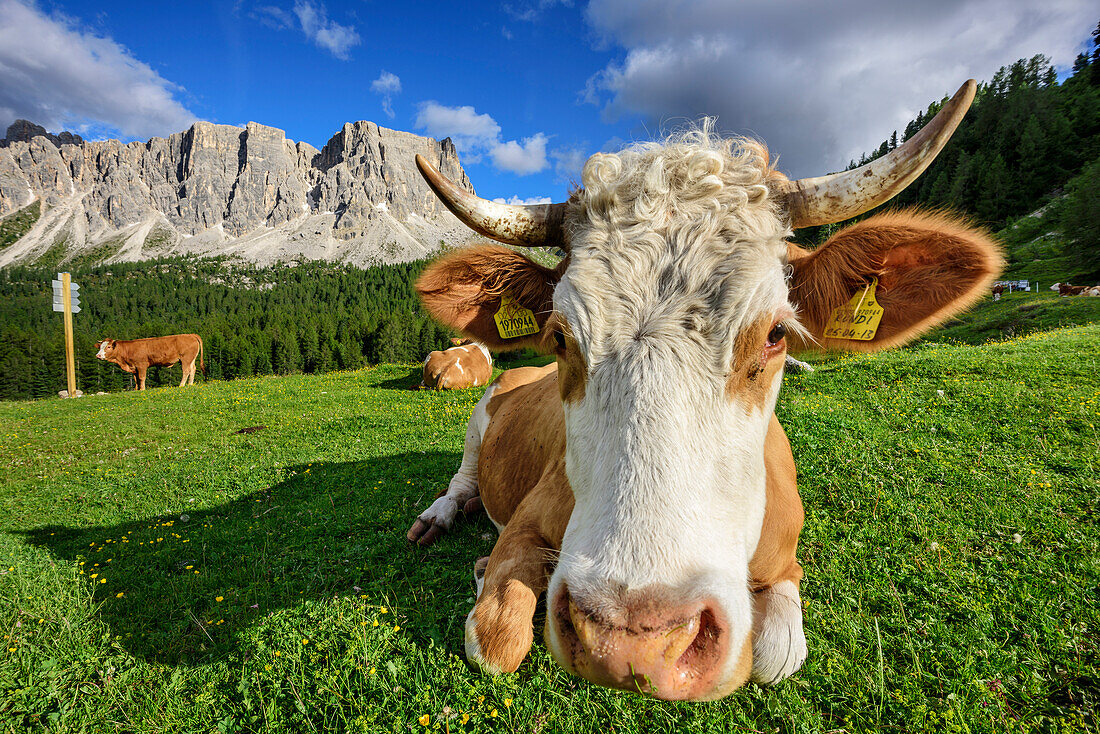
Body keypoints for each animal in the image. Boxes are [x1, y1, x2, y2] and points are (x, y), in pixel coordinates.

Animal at [407, 79, 1007, 699]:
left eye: (776, 334)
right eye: (559, 336)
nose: (632, 642)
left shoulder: (787, 562)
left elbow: (777, 654)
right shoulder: (528, 519)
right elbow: (495, 639)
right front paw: (485, 573)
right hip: (483, 413)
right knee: (463, 478)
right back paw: (439, 515)